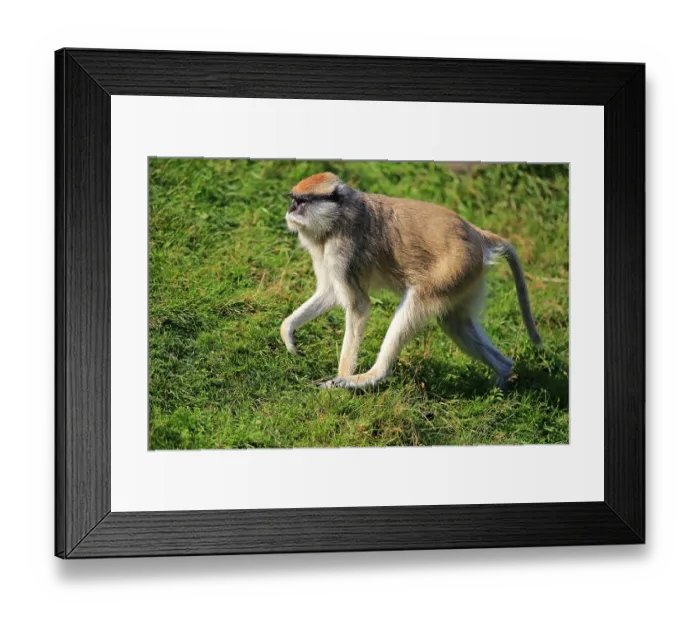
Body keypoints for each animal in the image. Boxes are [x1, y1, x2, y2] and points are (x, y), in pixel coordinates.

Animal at [280, 172, 542, 390]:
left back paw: (371, 376)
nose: (290, 210)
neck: (338, 216)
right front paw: (288, 332)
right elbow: (330, 293)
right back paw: (503, 373)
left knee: (417, 302)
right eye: (294, 199)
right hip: (466, 277)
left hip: (455, 268)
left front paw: (341, 378)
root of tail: (476, 233)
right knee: (454, 323)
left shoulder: (341, 250)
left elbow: (358, 305)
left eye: (301, 202)